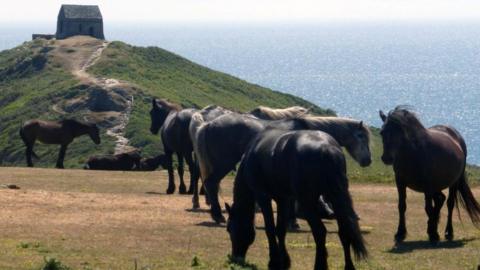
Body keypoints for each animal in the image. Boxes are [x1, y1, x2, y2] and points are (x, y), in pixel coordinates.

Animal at [226, 130, 368, 268]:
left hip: (308, 202)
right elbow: (280, 229)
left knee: (320, 232)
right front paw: (284, 261)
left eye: (229, 228)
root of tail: (326, 147)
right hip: (334, 198)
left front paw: (274, 261)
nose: (235, 257)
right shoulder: (283, 199)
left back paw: (320, 265)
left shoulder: (263, 197)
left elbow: (270, 229)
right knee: (344, 232)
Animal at [378, 107, 480, 243]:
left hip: (453, 183)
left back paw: (448, 231)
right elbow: (402, 206)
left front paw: (433, 233)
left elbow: (428, 208)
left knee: (449, 204)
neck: (412, 154)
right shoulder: (400, 182)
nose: (387, 158)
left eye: (399, 133)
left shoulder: (427, 186)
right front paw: (400, 232)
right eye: (382, 133)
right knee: (440, 199)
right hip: (436, 187)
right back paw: (433, 225)